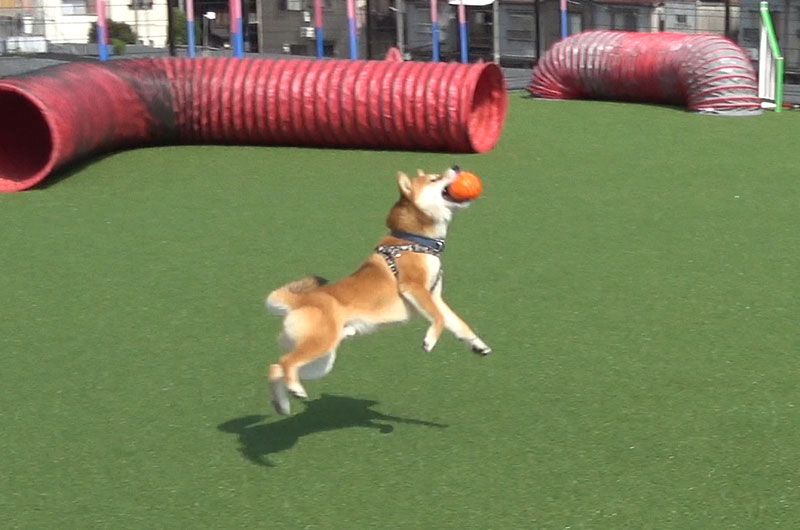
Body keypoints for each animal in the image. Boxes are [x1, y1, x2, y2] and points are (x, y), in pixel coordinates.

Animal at [266, 165, 490, 412]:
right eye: (435, 178)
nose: (457, 167)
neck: (415, 240)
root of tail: (299, 301)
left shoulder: (435, 297)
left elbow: (458, 324)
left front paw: (478, 344)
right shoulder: (414, 287)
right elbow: (438, 319)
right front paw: (430, 340)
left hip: (322, 361)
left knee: (275, 368)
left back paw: (282, 403)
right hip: (319, 345)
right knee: (284, 362)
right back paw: (294, 389)